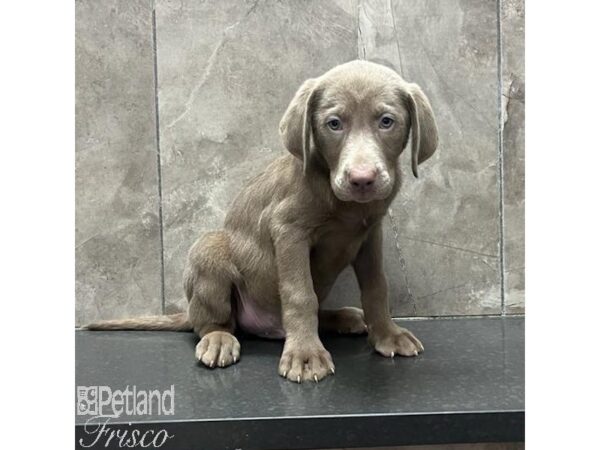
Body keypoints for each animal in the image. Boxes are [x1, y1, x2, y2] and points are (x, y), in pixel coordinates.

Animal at [86, 59, 438, 384]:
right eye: (334, 124)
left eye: (387, 121)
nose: (362, 179)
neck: (345, 206)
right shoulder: (289, 230)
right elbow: (300, 294)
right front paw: (306, 355)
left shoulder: (369, 234)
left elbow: (376, 286)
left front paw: (387, 335)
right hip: (208, 250)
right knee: (213, 323)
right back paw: (219, 340)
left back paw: (341, 318)